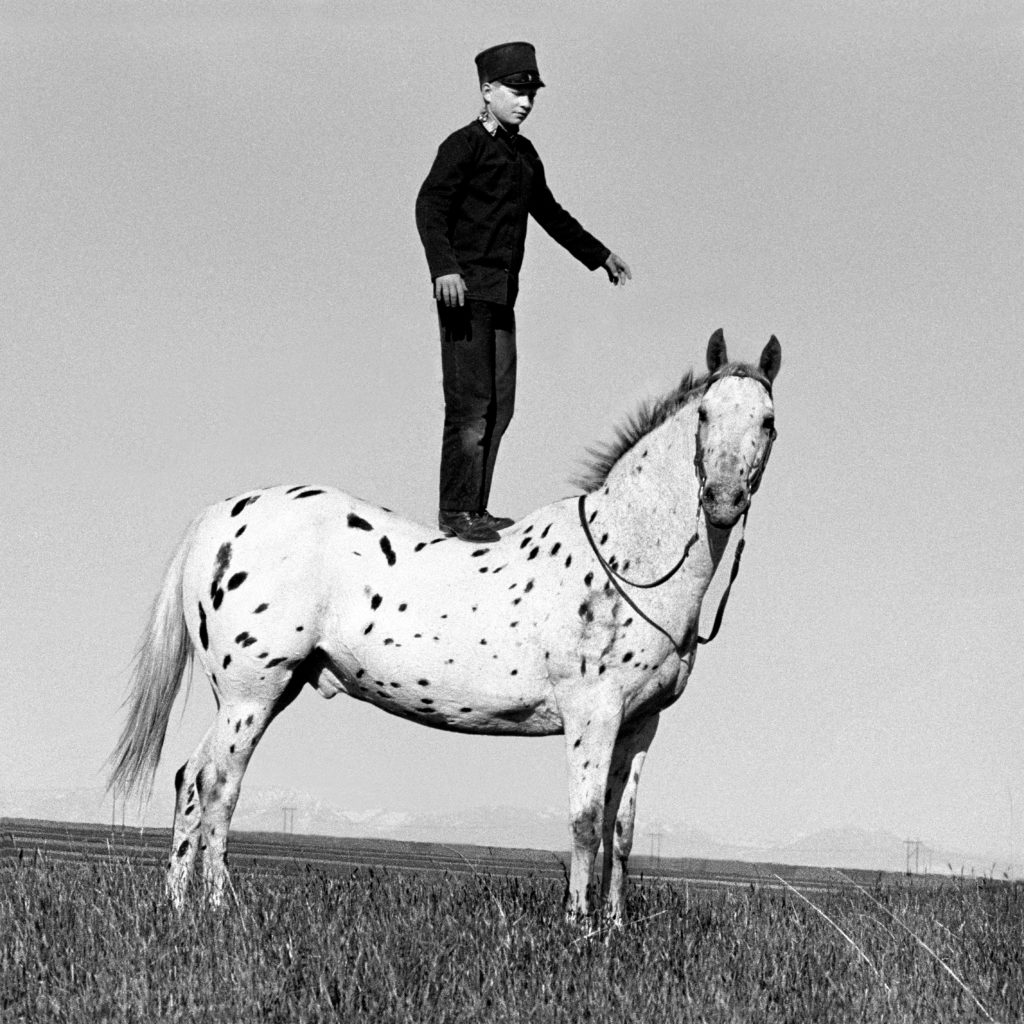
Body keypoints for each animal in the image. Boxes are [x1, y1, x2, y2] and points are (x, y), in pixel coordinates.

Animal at [108, 331, 778, 925]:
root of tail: (218, 518)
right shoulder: (593, 714)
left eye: (768, 421)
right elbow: (586, 824)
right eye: (705, 414)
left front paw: (613, 929)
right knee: (220, 784)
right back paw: (221, 910)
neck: (626, 557)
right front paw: (578, 928)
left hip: (258, 693)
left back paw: (179, 909)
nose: (722, 499)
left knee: (189, 779)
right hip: (252, 692)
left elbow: (623, 831)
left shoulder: (639, 724)